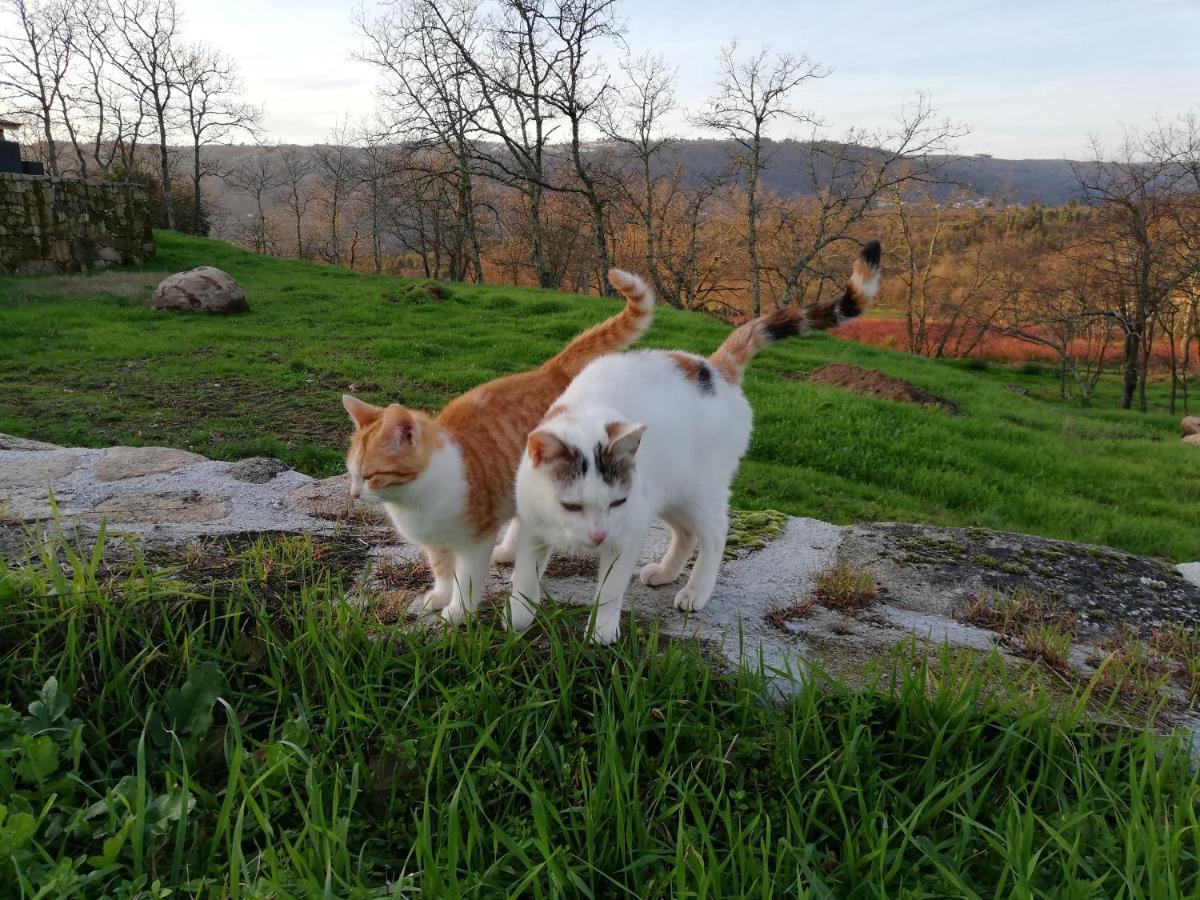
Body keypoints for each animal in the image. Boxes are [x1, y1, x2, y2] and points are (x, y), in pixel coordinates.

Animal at [338, 271, 657, 624]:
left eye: (371, 475)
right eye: (352, 473)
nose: (353, 494)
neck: (414, 500)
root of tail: (548, 369)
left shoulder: (476, 540)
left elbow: (467, 579)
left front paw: (458, 612)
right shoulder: (435, 543)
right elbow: (442, 570)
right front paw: (440, 595)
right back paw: (507, 551)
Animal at [506, 243, 883, 643]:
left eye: (616, 503)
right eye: (572, 506)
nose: (597, 535)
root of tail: (714, 368)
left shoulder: (628, 530)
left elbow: (609, 590)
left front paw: (602, 631)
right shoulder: (533, 527)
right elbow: (525, 577)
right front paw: (517, 618)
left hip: (700, 490)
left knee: (715, 532)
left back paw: (696, 591)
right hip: (670, 490)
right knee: (686, 533)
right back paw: (665, 573)